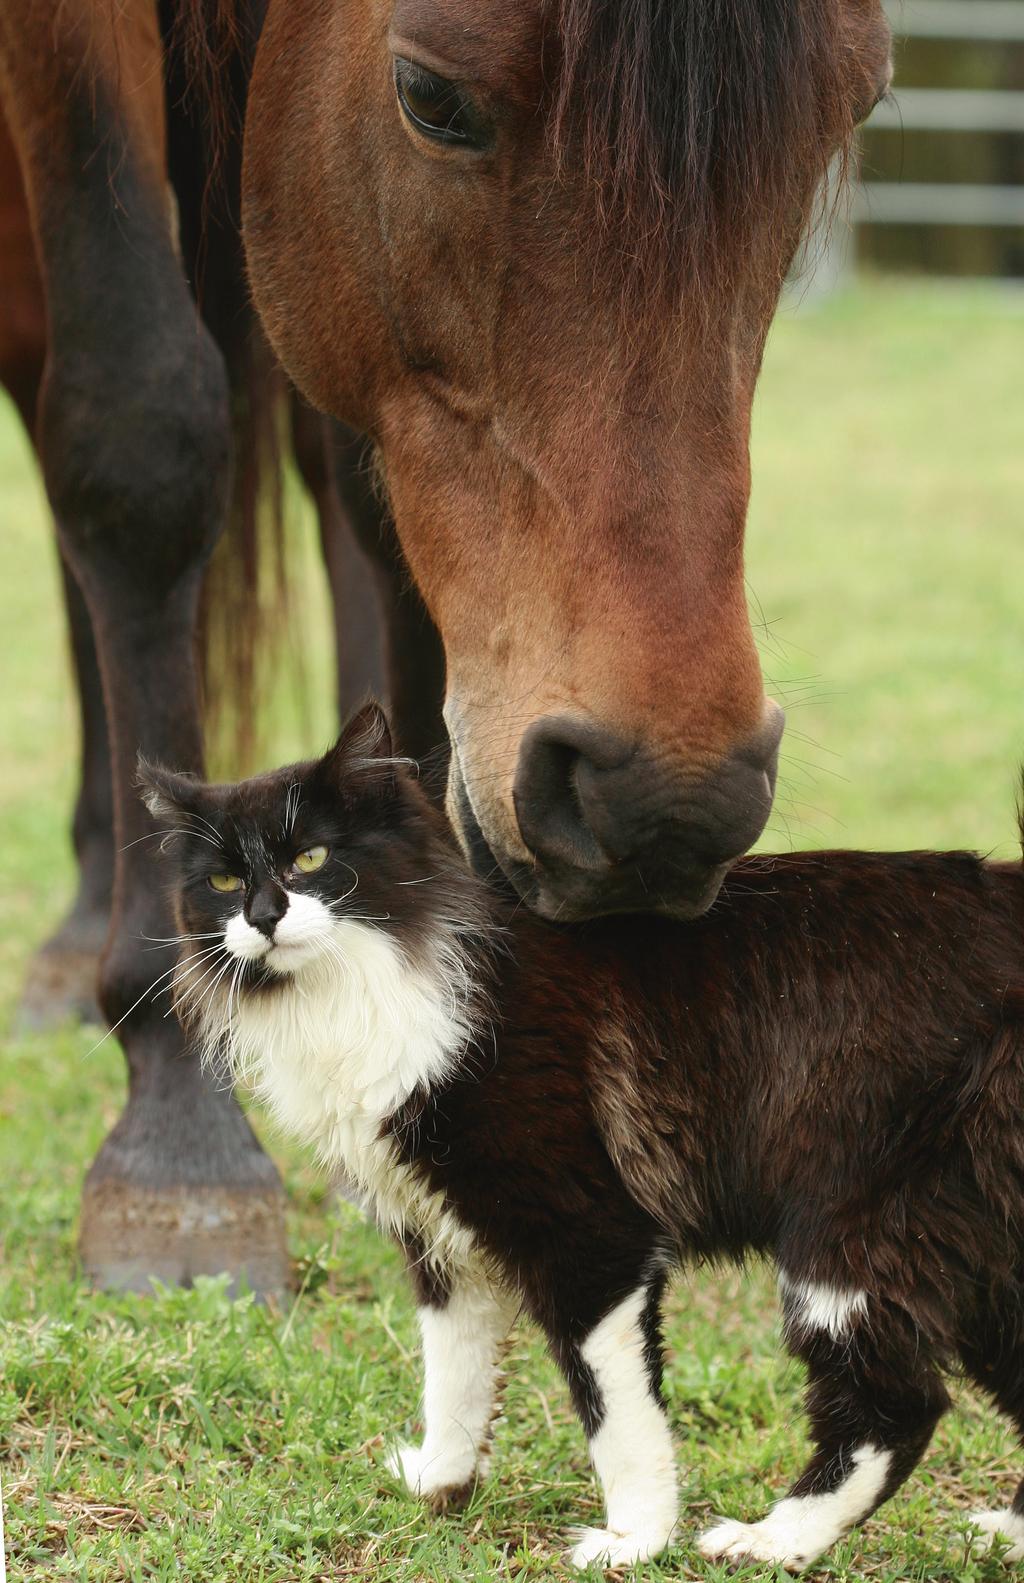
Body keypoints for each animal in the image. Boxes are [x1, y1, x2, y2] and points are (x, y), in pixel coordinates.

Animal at [0, 0, 886, 1285]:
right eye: (431, 97)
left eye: (852, 107)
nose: (666, 800)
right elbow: (136, 438)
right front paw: (175, 1134)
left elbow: (374, 506)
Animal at [140, 712, 1024, 1576]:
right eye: (223, 881)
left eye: (312, 856)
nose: (263, 915)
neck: (382, 983)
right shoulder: (443, 1244)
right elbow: (452, 1375)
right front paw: (440, 1482)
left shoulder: (592, 1236)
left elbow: (615, 1415)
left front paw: (638, 1537)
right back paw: (1003, 1534)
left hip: (846, 1233)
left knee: (897, 1409)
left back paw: (772, 1540)